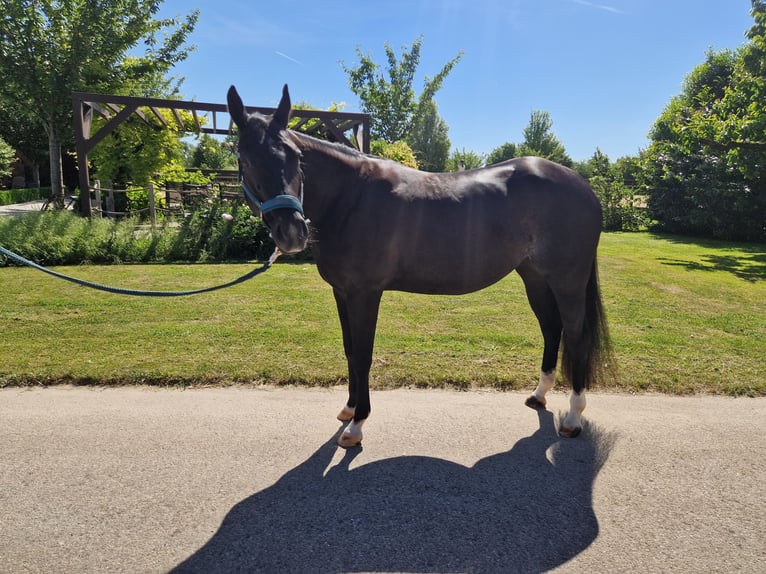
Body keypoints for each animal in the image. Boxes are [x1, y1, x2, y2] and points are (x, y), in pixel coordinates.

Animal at [227, 84, 611, 448]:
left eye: (296, 158)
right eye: (246, 159)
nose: (292, 233)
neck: (350, 198)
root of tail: (583, 186)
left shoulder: (365, 294)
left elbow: (363, 355)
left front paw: (357, 424)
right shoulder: (342, 292)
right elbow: (350, 351)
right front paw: (349, 409)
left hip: (567, 281)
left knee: (575, 336)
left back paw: (573, 418)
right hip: (535, 277)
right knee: (551, 328)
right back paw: (539, 394)